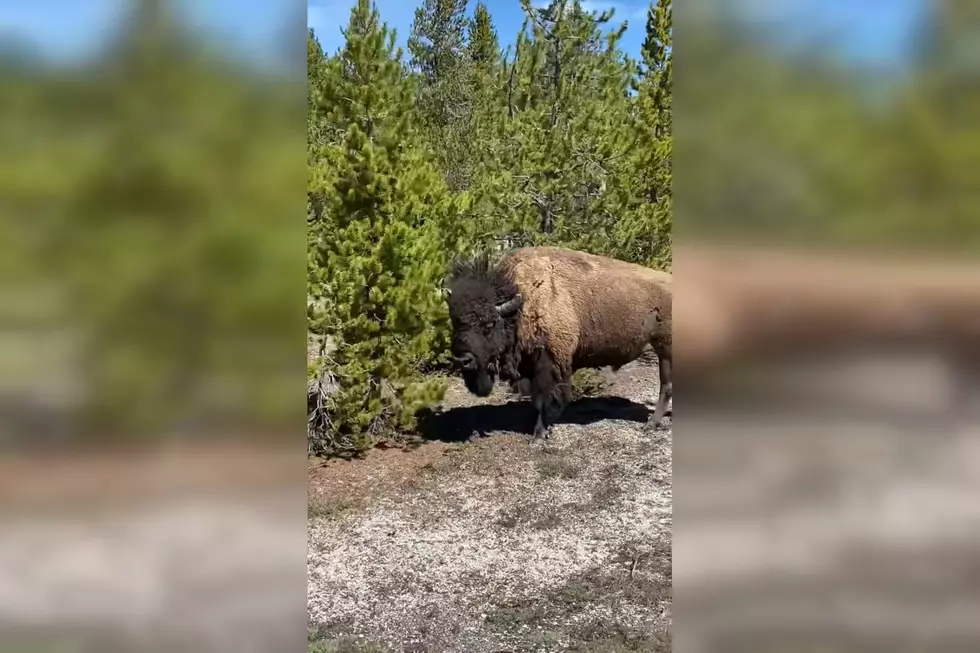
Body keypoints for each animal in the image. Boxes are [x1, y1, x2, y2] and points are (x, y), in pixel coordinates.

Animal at [446, 247, 668, 440]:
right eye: (455, 322)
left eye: (489, 324)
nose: (462, 359)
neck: (522, 302)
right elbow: (536, 399)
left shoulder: (551, 362)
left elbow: (547, 398)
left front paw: (539, 435)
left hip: (666, 349)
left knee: (666, 386)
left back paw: (650, 425)